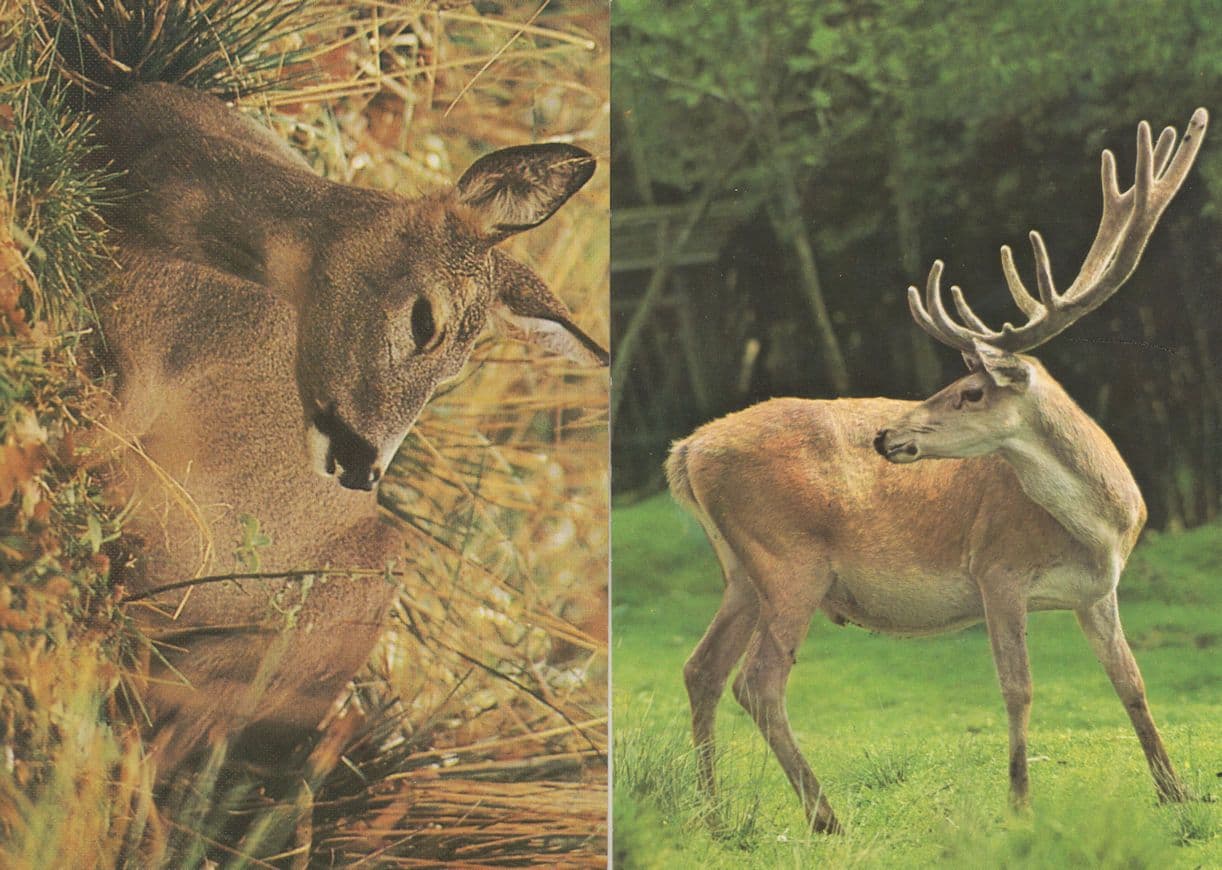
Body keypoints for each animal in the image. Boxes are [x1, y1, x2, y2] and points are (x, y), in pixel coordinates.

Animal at [666, 108, 1207, 834]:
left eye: (971, 391)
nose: (886, 435)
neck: (1103, 525)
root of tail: (687, 451)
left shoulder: (1098, 591)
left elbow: (1133, 685)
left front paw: (1175, 793)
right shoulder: (997, 569)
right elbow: (1018, 688)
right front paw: (1019, 803)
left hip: (741, 571)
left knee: (701, 669)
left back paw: (717, 815)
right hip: (788, 559)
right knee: (758, 682)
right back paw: (824, 817)